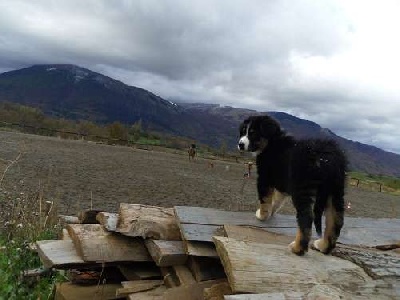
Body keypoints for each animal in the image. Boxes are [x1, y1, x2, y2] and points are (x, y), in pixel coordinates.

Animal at [238, 115, 346, 255]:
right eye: (243, 131)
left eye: (253, 133)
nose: (240, 144)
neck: (272, 142)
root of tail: (327, 157)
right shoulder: (282, 183)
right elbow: (276, 201)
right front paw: (270, 213)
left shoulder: (264, 178)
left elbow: (264, 200)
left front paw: (262, 216)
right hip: (336, 190)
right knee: (336, 219)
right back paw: (323, 246)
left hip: (302, 188)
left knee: (306, 218)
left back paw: (298, 248)